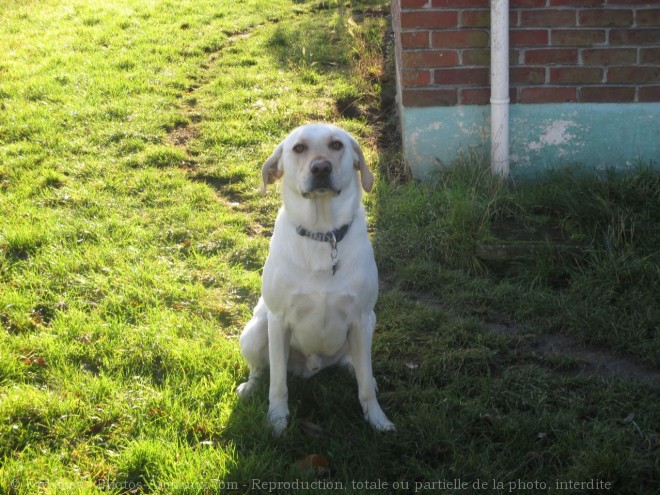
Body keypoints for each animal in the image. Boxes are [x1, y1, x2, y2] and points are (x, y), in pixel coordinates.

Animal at [236, 124, 394, 434]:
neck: (323, 234)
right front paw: (277, 421)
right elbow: (278, 384)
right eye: (299, 148)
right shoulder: (278, 320)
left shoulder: (360, 318)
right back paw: (250, 387)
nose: (321, 167)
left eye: (336, 145)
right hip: (256, 330)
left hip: (370, 323)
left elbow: (364, 387)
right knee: (262, 369)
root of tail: (311, 368)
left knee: (358, 365)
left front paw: (378, 419)